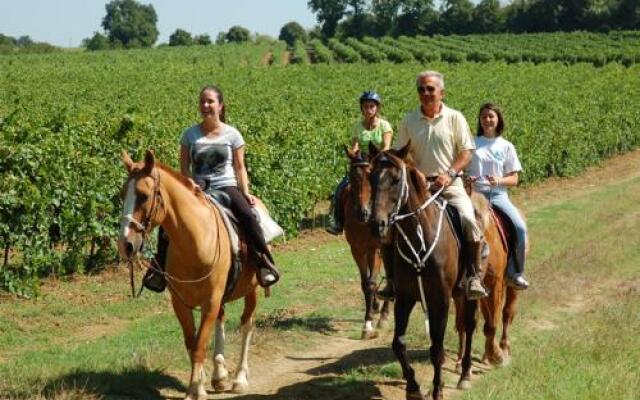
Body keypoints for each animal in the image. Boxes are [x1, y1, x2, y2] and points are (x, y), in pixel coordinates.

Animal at [118, 151, 270, 400]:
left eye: (143, 196)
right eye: (122, 195)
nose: (125, 245)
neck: (196, 241)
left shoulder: (210, 301)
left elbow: (200, 346)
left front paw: (195, 390)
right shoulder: (181, 303)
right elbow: (192, 344)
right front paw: (198, 384)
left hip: (252, 288)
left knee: (246, 324)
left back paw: (239, 378)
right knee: (221, 319)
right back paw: (219, 375)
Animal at [342, 148, 392, 340]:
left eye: (372, 175)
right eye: (351, 175)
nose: (362, 213)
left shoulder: (376, 249)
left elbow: (371, 283)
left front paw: (368, 324)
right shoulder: (356, 249)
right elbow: (365, 283)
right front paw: (370, 314)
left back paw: (384, 314)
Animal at [368, 144, 478, 400]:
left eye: (396, 179)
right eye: (371, 177)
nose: (376, 224)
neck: (420, 237)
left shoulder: (441, 300)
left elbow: (436, 349)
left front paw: (437, 390)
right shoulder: (404, 299)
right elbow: (398, 344)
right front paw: (413, 387)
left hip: (469, 293)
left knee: (469, 325)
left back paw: (465, 374)